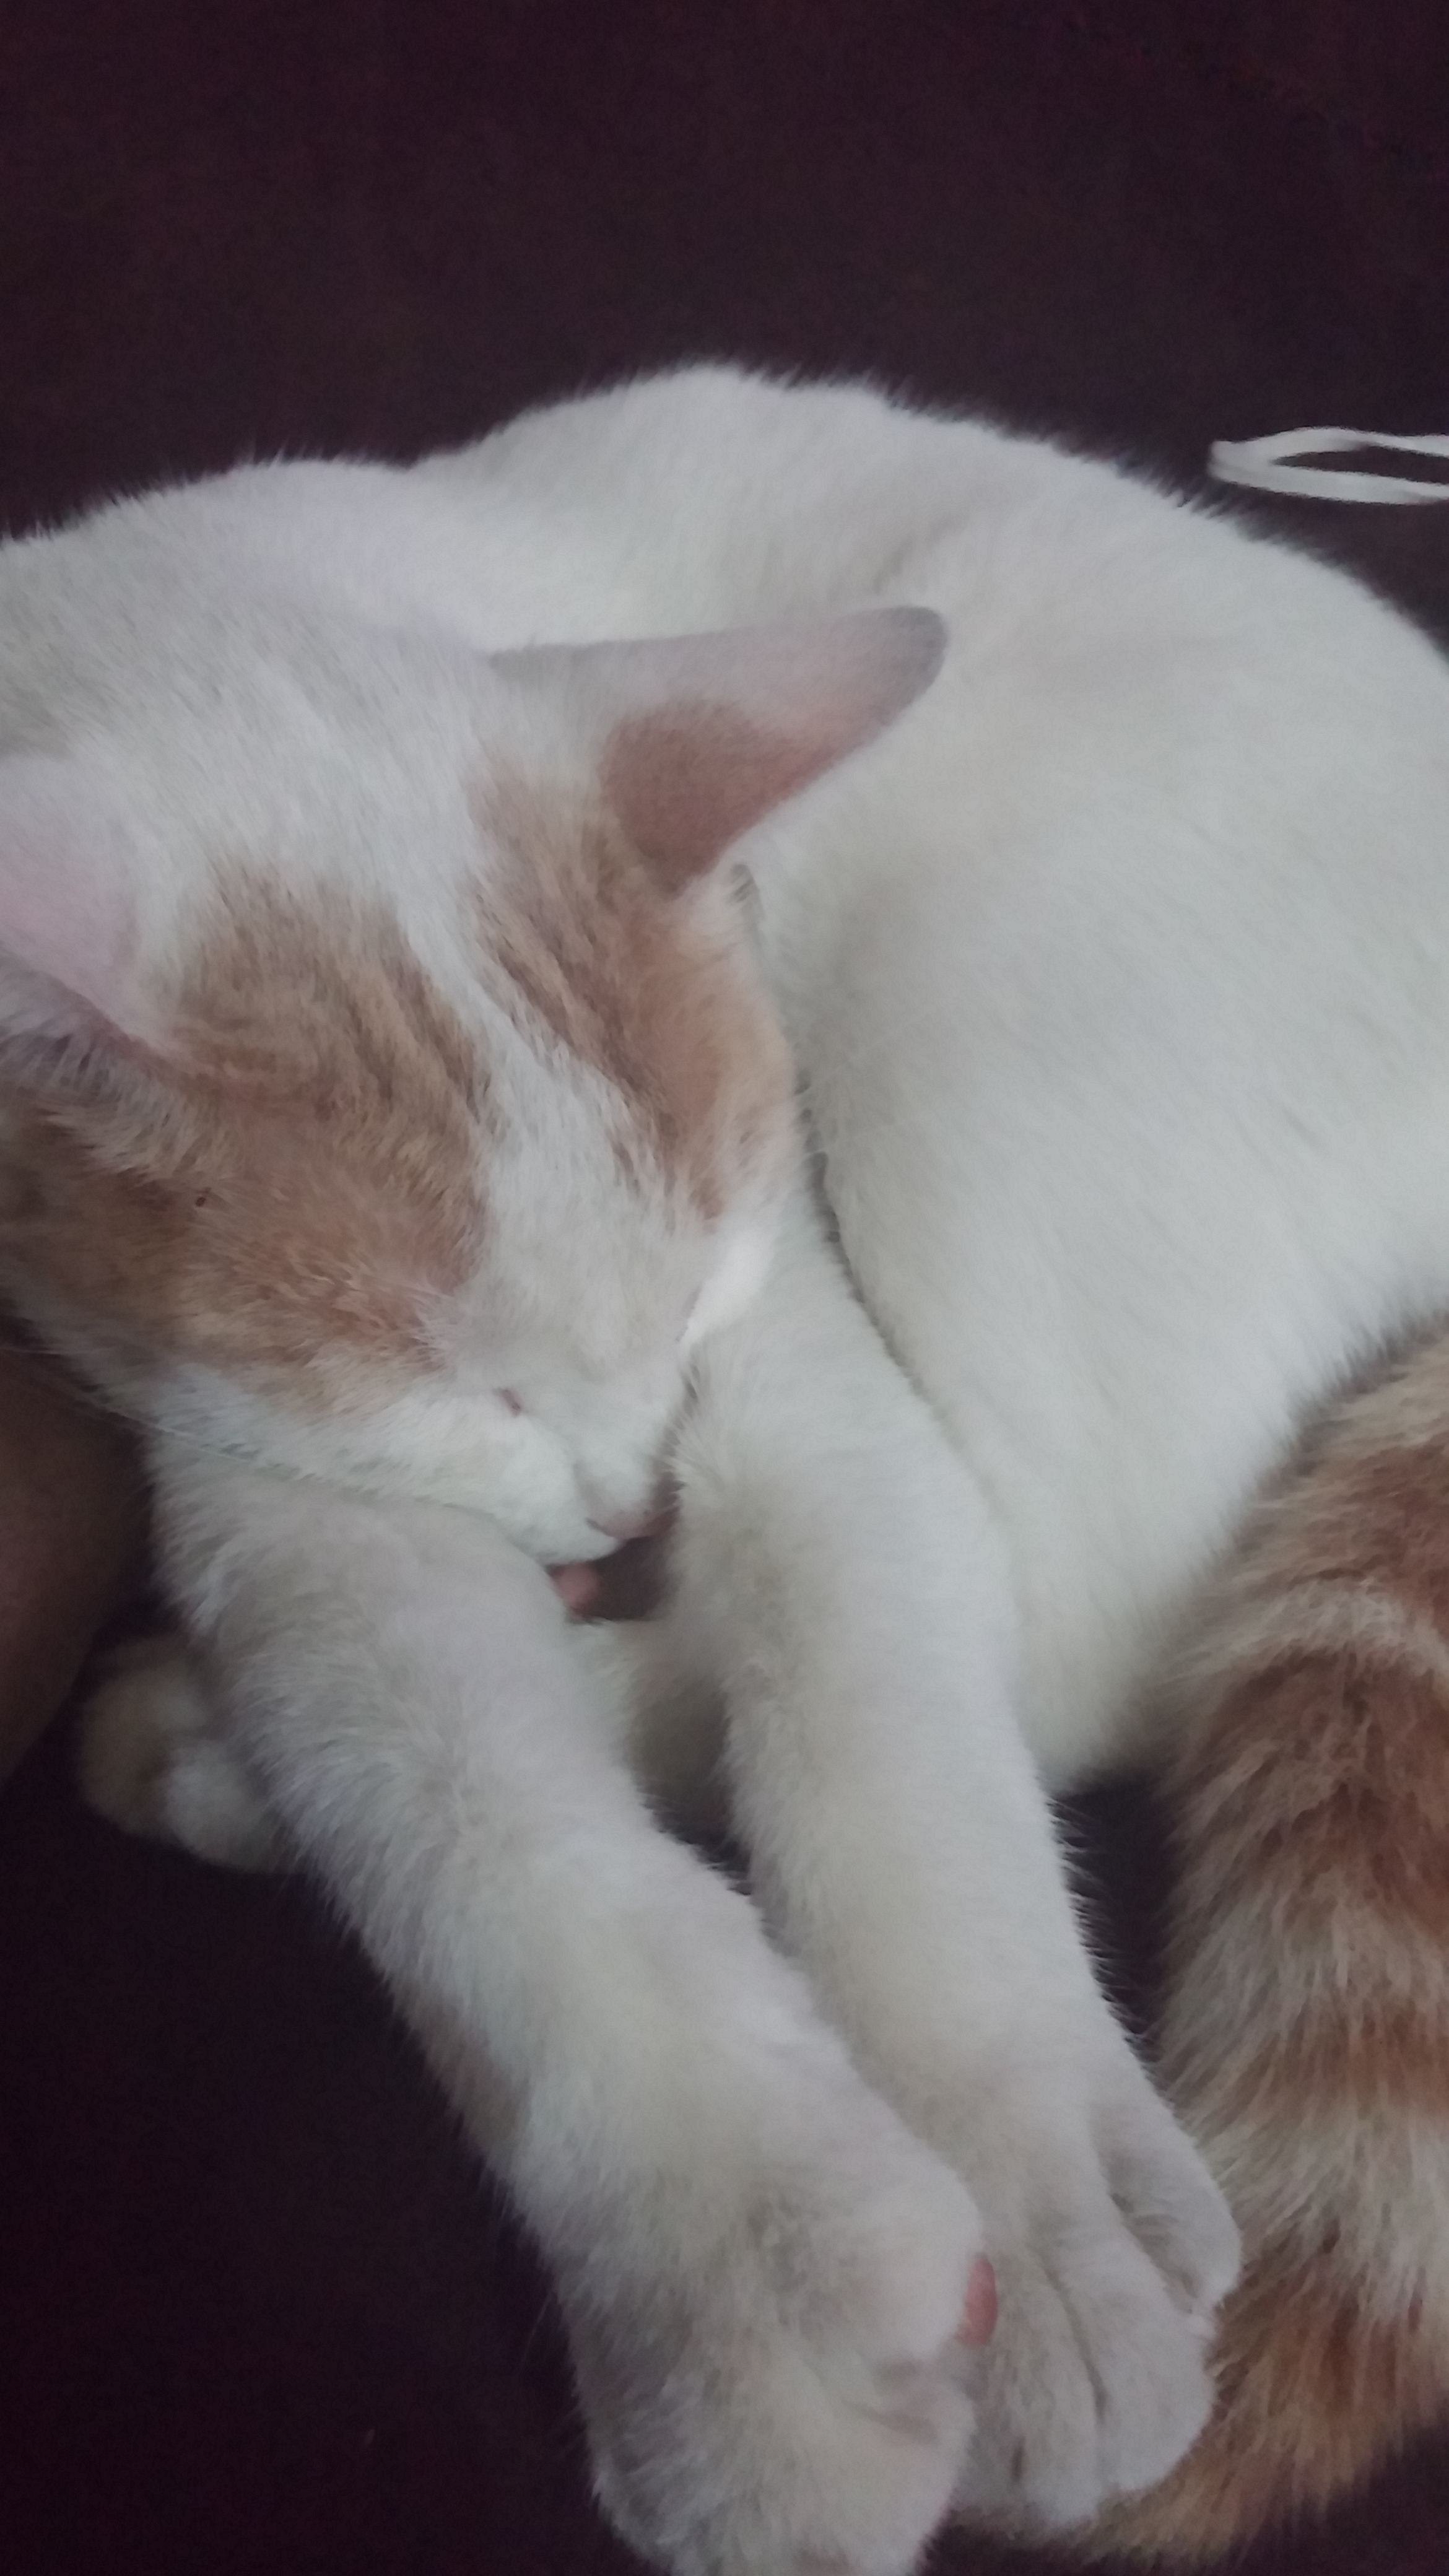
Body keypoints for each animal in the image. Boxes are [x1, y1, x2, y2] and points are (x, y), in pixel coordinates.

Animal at [4, 362, 1449, 2574]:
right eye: (480, 1396)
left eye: (691, 1309)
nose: (625, 1507)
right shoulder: (277, 1447)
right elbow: (446, 1793)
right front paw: (746, 2276)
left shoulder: (782, 1312)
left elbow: (887, 1709)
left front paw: (1019, 2196)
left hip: (975, 1028)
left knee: (1070, 1625)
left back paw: (192, 1746)